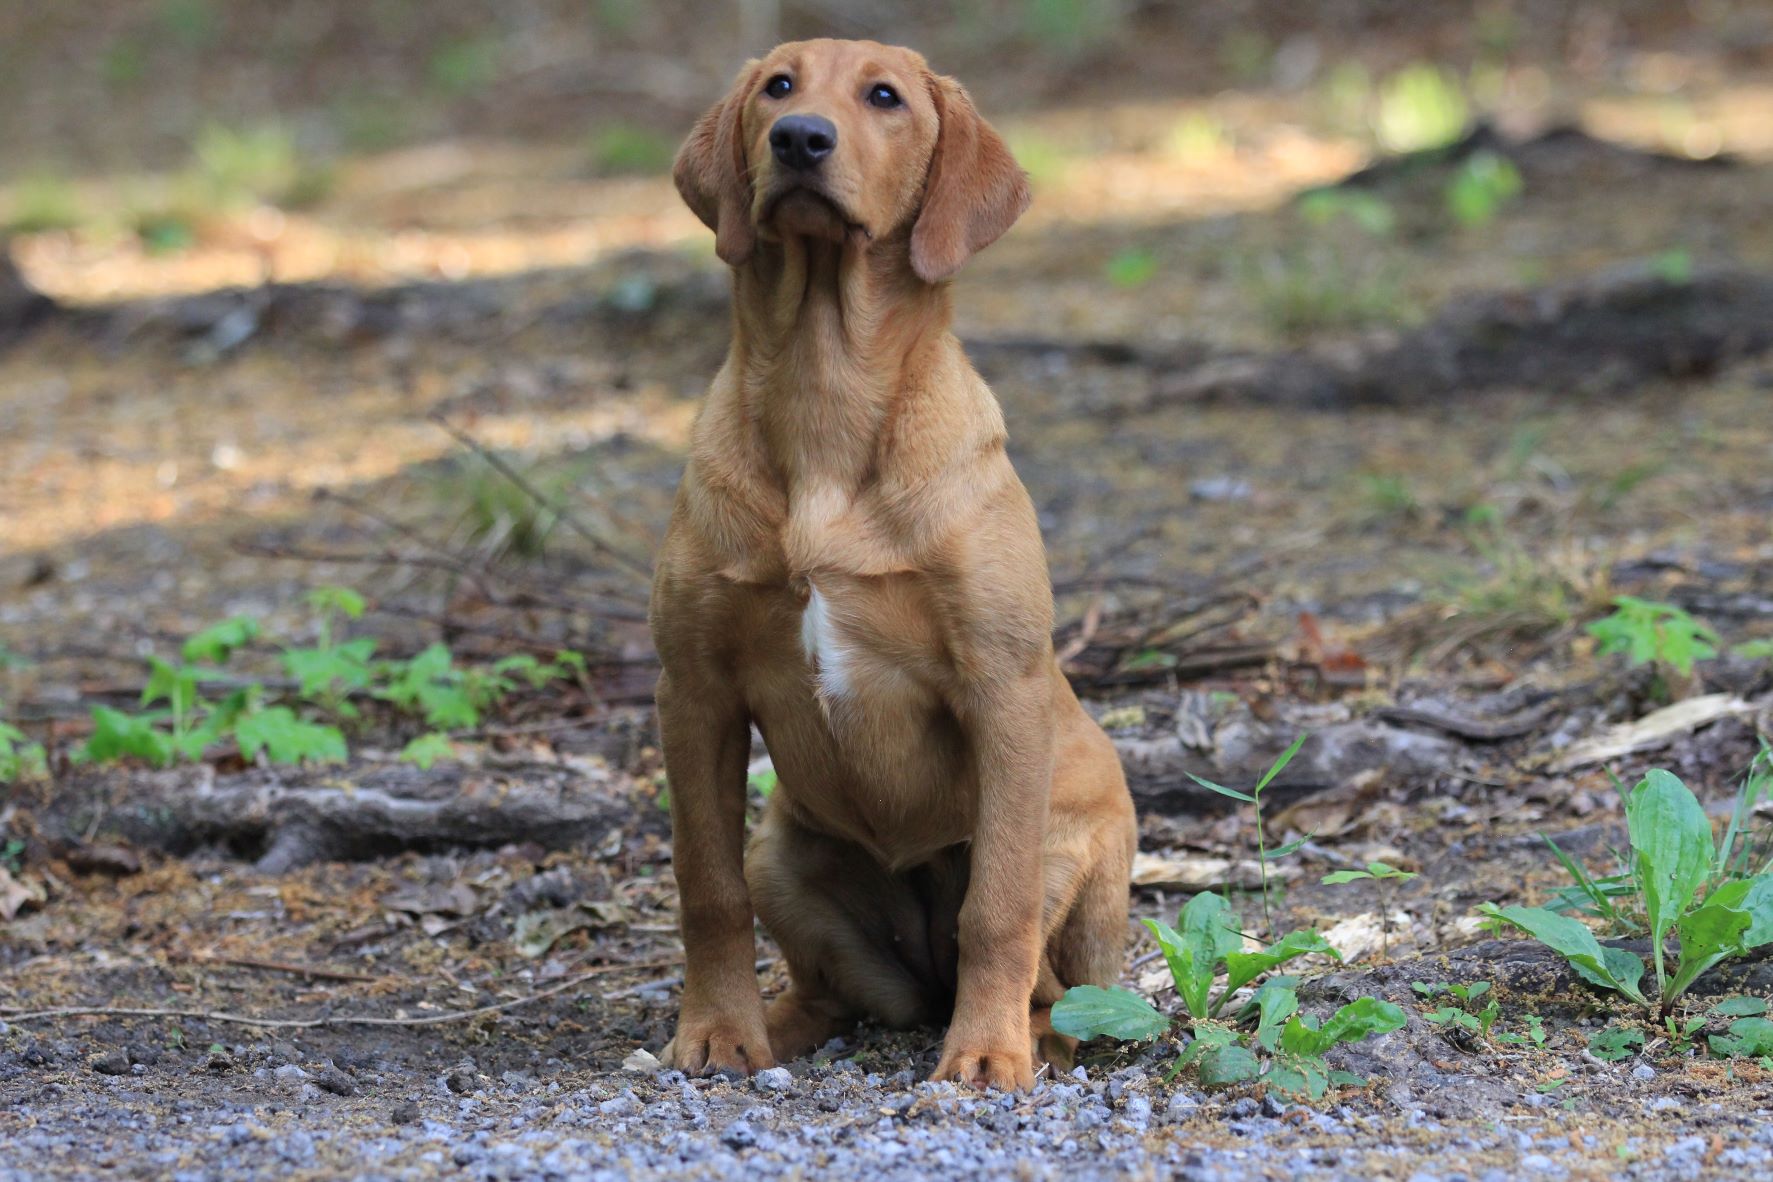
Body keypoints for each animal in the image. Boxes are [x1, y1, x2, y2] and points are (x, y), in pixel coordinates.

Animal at [652, 36, 1134, 1091]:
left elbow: (993, 909)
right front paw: (715, 1031)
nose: (799, 139)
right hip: (783, 853)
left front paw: (985, 1055)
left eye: (885, 98)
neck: (827, 393)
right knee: (838, 991)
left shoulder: (1000, 689)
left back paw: (1024, 1036)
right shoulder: (691, 687)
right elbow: (704, 888)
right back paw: (777, 1025)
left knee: (1061, 991)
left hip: (1076, 851)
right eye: (777, 88)